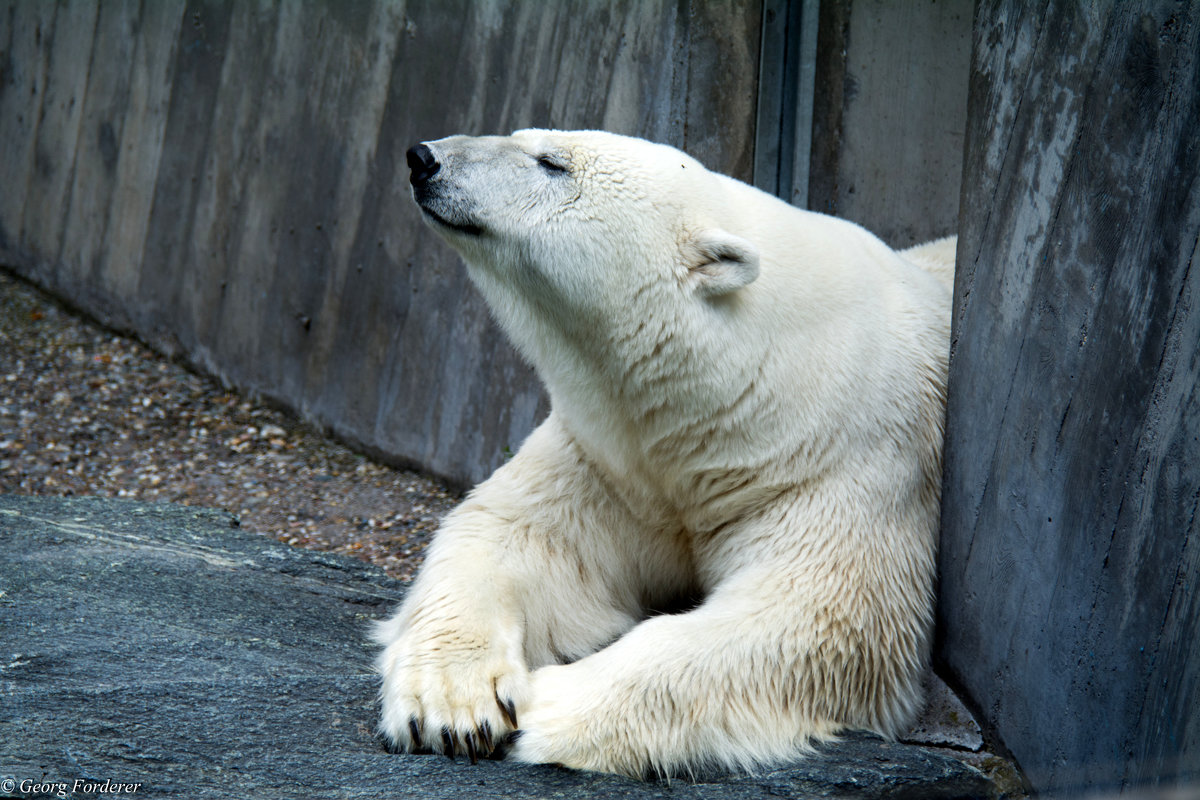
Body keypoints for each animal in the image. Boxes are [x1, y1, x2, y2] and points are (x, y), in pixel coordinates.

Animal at [374, 130, 955, 777]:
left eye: (552, 163)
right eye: (526, 138)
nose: (424, 158)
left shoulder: (844, 467)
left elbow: (818, 619)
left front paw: (552, 703)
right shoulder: (615, 458)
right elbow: (518, 536)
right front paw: (452, 705)